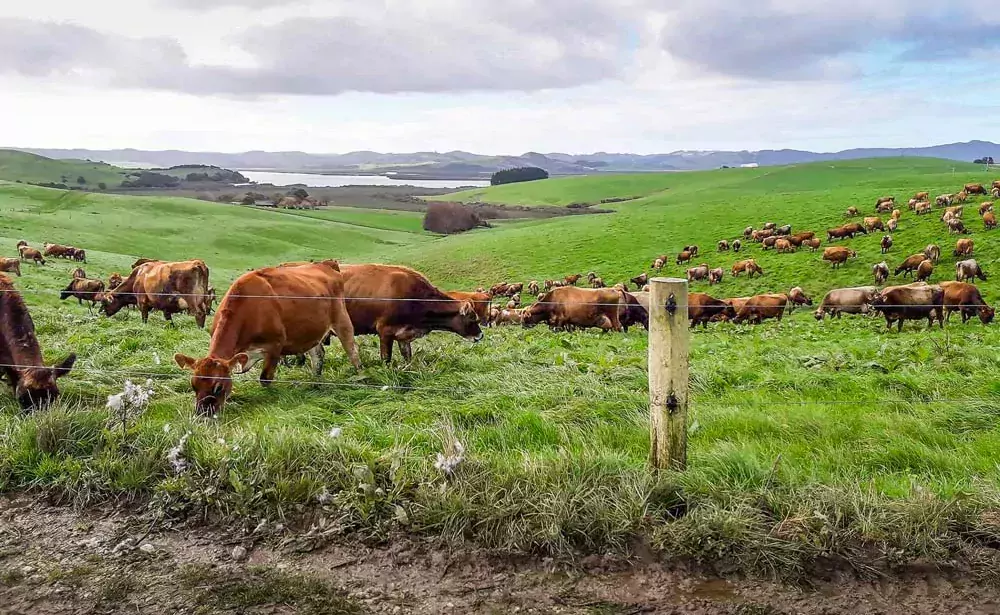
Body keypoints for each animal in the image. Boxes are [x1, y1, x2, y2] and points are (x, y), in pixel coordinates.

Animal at [174, 262, 362, 416]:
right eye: (193, 385)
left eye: (218, 386)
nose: (202, 414)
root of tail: (326, 264)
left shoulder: (275, 346)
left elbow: (265, 378)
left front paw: (270, 396)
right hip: (311, 332)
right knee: (318, 355)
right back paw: (315, 384)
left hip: (342, 320)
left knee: (353, 351)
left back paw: (361, 378)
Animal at [340, 262, 484, 364]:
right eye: (472, 318)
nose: (481, 335)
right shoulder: (385, 331)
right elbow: (386, 359)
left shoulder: (403, 335)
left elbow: (408, 357)